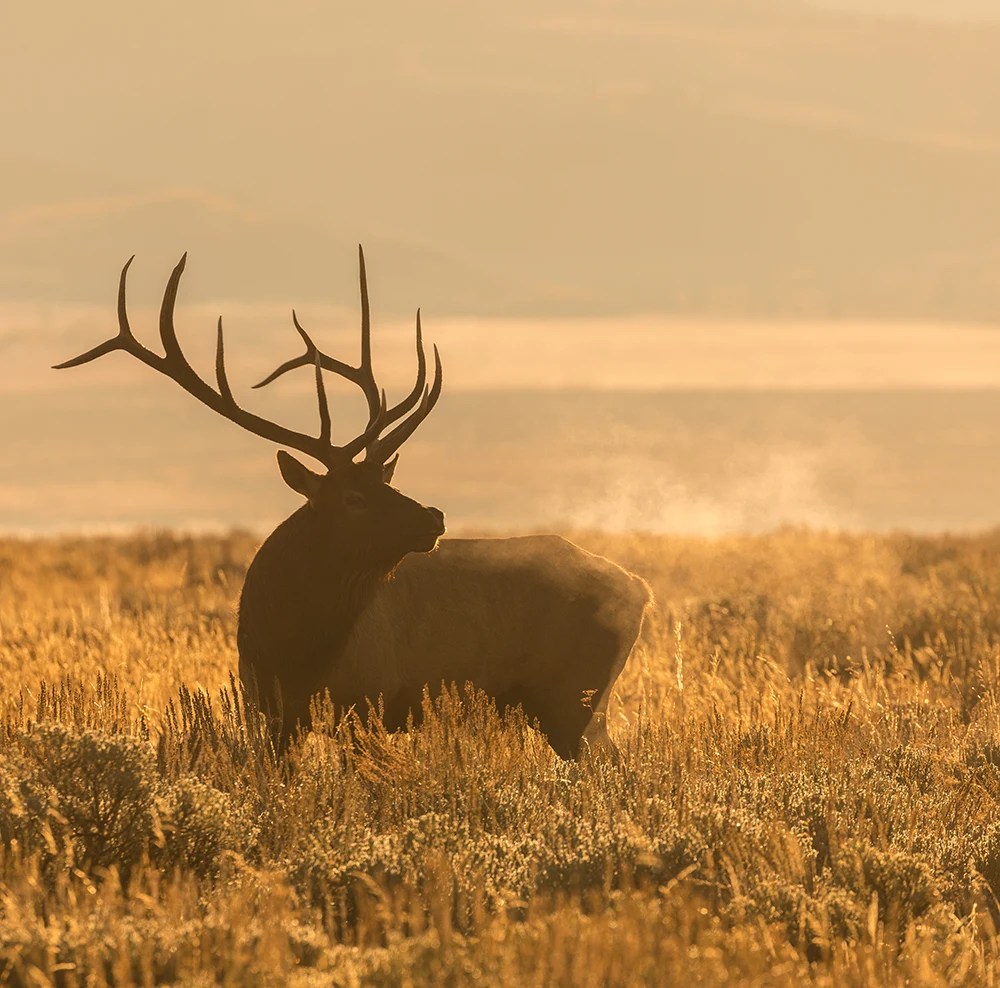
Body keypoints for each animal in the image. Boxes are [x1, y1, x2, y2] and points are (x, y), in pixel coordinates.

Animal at [55, 249, 652, 758]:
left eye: (382, 482)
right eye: (354, 496)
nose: (432, 516)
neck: (292, 645)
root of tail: (639, 589)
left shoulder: (367, 702)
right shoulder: (269, 711)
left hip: (573, 694)